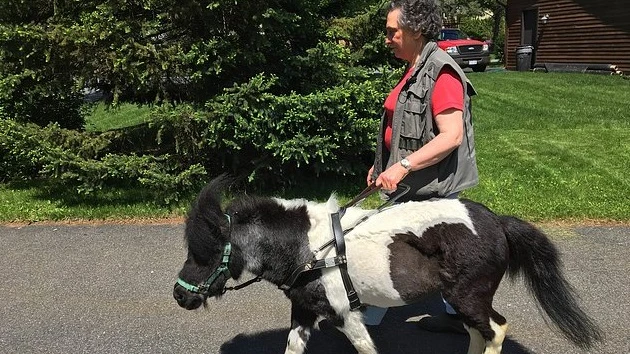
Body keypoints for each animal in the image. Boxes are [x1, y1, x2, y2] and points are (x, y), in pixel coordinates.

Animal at [173, 178, 604, 352]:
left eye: (204, 253)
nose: (179, 295)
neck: (312, 250)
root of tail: (496, 221)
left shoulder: (345, 315)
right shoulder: (305, 310)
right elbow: (293, 348)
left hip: (469, 296)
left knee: (495, 330)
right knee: (477, 333)